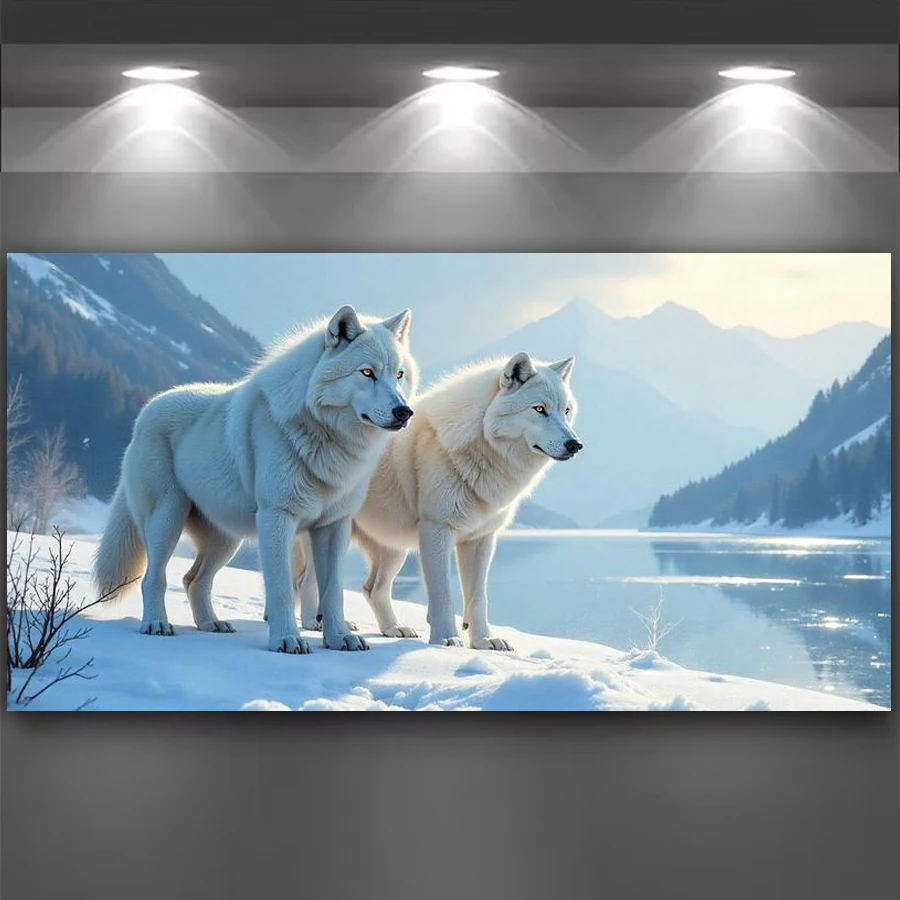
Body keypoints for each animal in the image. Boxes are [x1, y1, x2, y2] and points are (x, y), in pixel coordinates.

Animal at [93, 305, 417, 654]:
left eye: (399, 375)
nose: (404, 412)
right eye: (367, 373)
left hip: (226, 540)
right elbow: (281, 589)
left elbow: (333, 592)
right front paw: (287, 639)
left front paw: (339, 638)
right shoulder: (277, 518)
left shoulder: (334, 526)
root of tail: (145, 412)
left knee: (193, 580)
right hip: (167, 518)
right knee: (155, 577)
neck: (326, 437)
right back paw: (156, 624)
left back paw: (211, 624)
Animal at [290, 351, 582, 650]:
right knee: (306, 582)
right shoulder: (436, 531)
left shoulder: (482, 539)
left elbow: (478, 598)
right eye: (539, 409)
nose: (575, 445)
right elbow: (444, 595)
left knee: (373, 589)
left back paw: (392, 628)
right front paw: (447, 639)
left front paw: (484, 641)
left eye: (566, 411)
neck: (479, 449)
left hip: (394, 548)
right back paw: (317, 624)